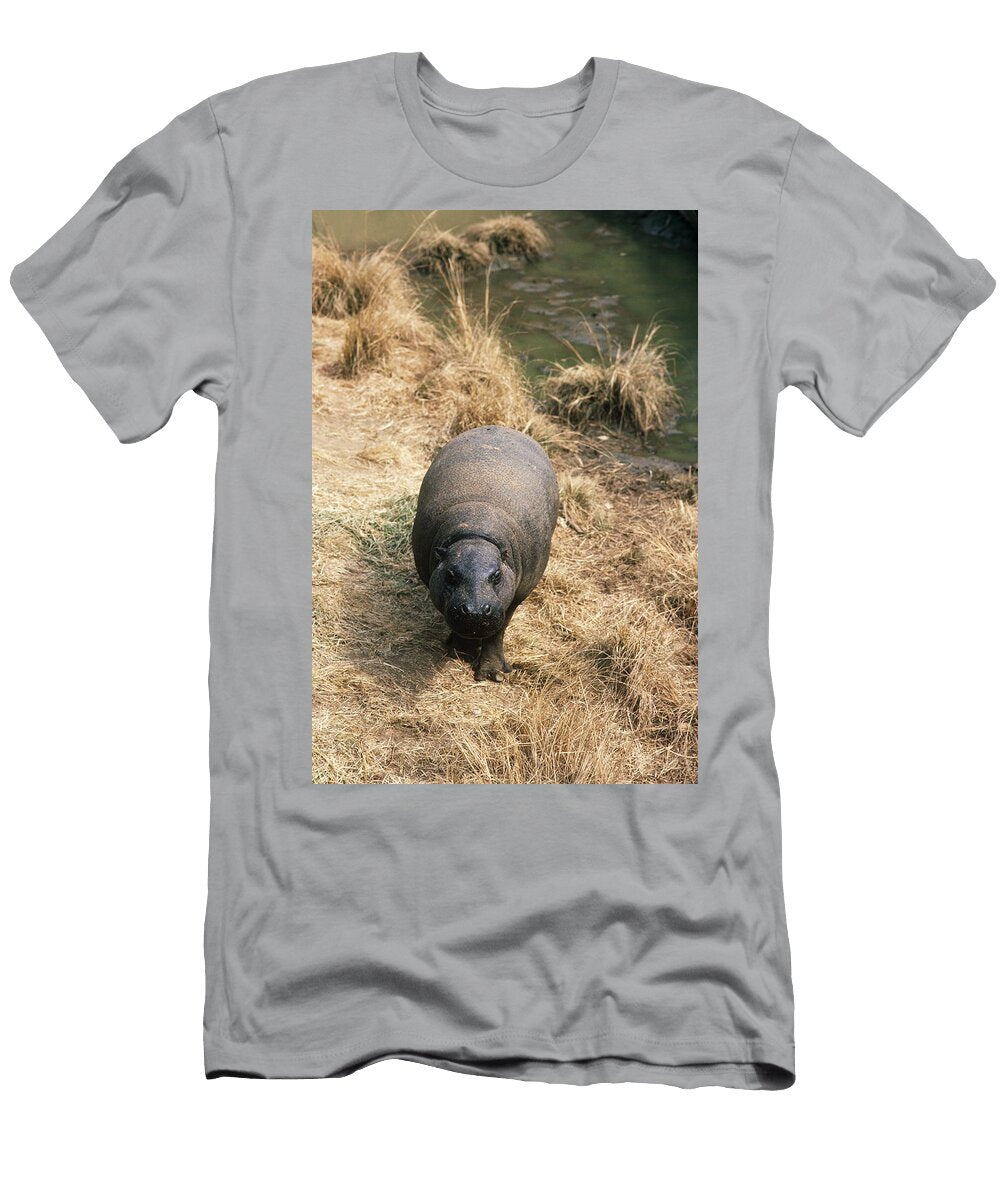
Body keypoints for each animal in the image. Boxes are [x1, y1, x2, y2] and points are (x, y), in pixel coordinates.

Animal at [412, 426, 560, 682]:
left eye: (497, 576)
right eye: (451, 575)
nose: (475, 611)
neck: (476, 531)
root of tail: (503, 427)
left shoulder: (515, 596)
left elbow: (498, 631)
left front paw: (493, 674)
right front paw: (460, 651)